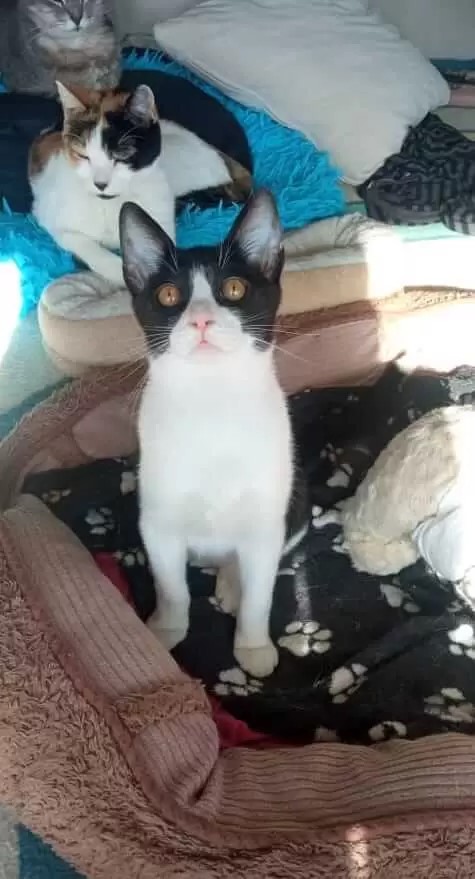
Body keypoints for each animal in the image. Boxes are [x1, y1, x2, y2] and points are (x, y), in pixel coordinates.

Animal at [29, 82, 175, 286]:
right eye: (83, 156)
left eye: (121, 156)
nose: (100, 184)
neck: (110, 204)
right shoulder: (49, 216)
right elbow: (83, 243)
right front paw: (118, 271)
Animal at [119, 190, 308, 679]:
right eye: (169, 295)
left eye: (235, 289)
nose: (201, 320)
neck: (212, 400)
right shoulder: (157, 522)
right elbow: (172, 585)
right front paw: (165, 630)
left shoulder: (268, 521)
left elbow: (261, 594)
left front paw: (254, 646)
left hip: (296, 505)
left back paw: (232, 584)